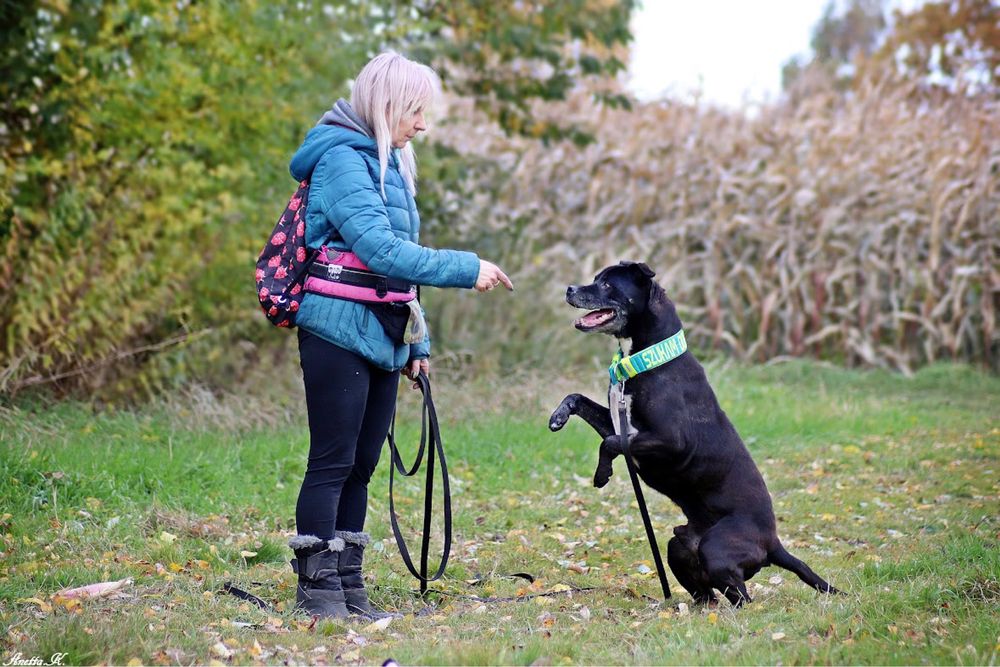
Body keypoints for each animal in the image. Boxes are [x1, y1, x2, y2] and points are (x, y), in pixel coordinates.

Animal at [552, 264, 840, 608]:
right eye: (596, 278)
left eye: (607, 284)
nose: (569, 288)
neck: (647, 359)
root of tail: (773, 543)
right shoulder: (620, 425)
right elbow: (578, 399)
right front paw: (557, 417)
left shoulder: (670, 441)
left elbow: (609, 444)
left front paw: (601, 474)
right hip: (680, 548)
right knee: (708, 595)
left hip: (716, 549)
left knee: (743, 599)